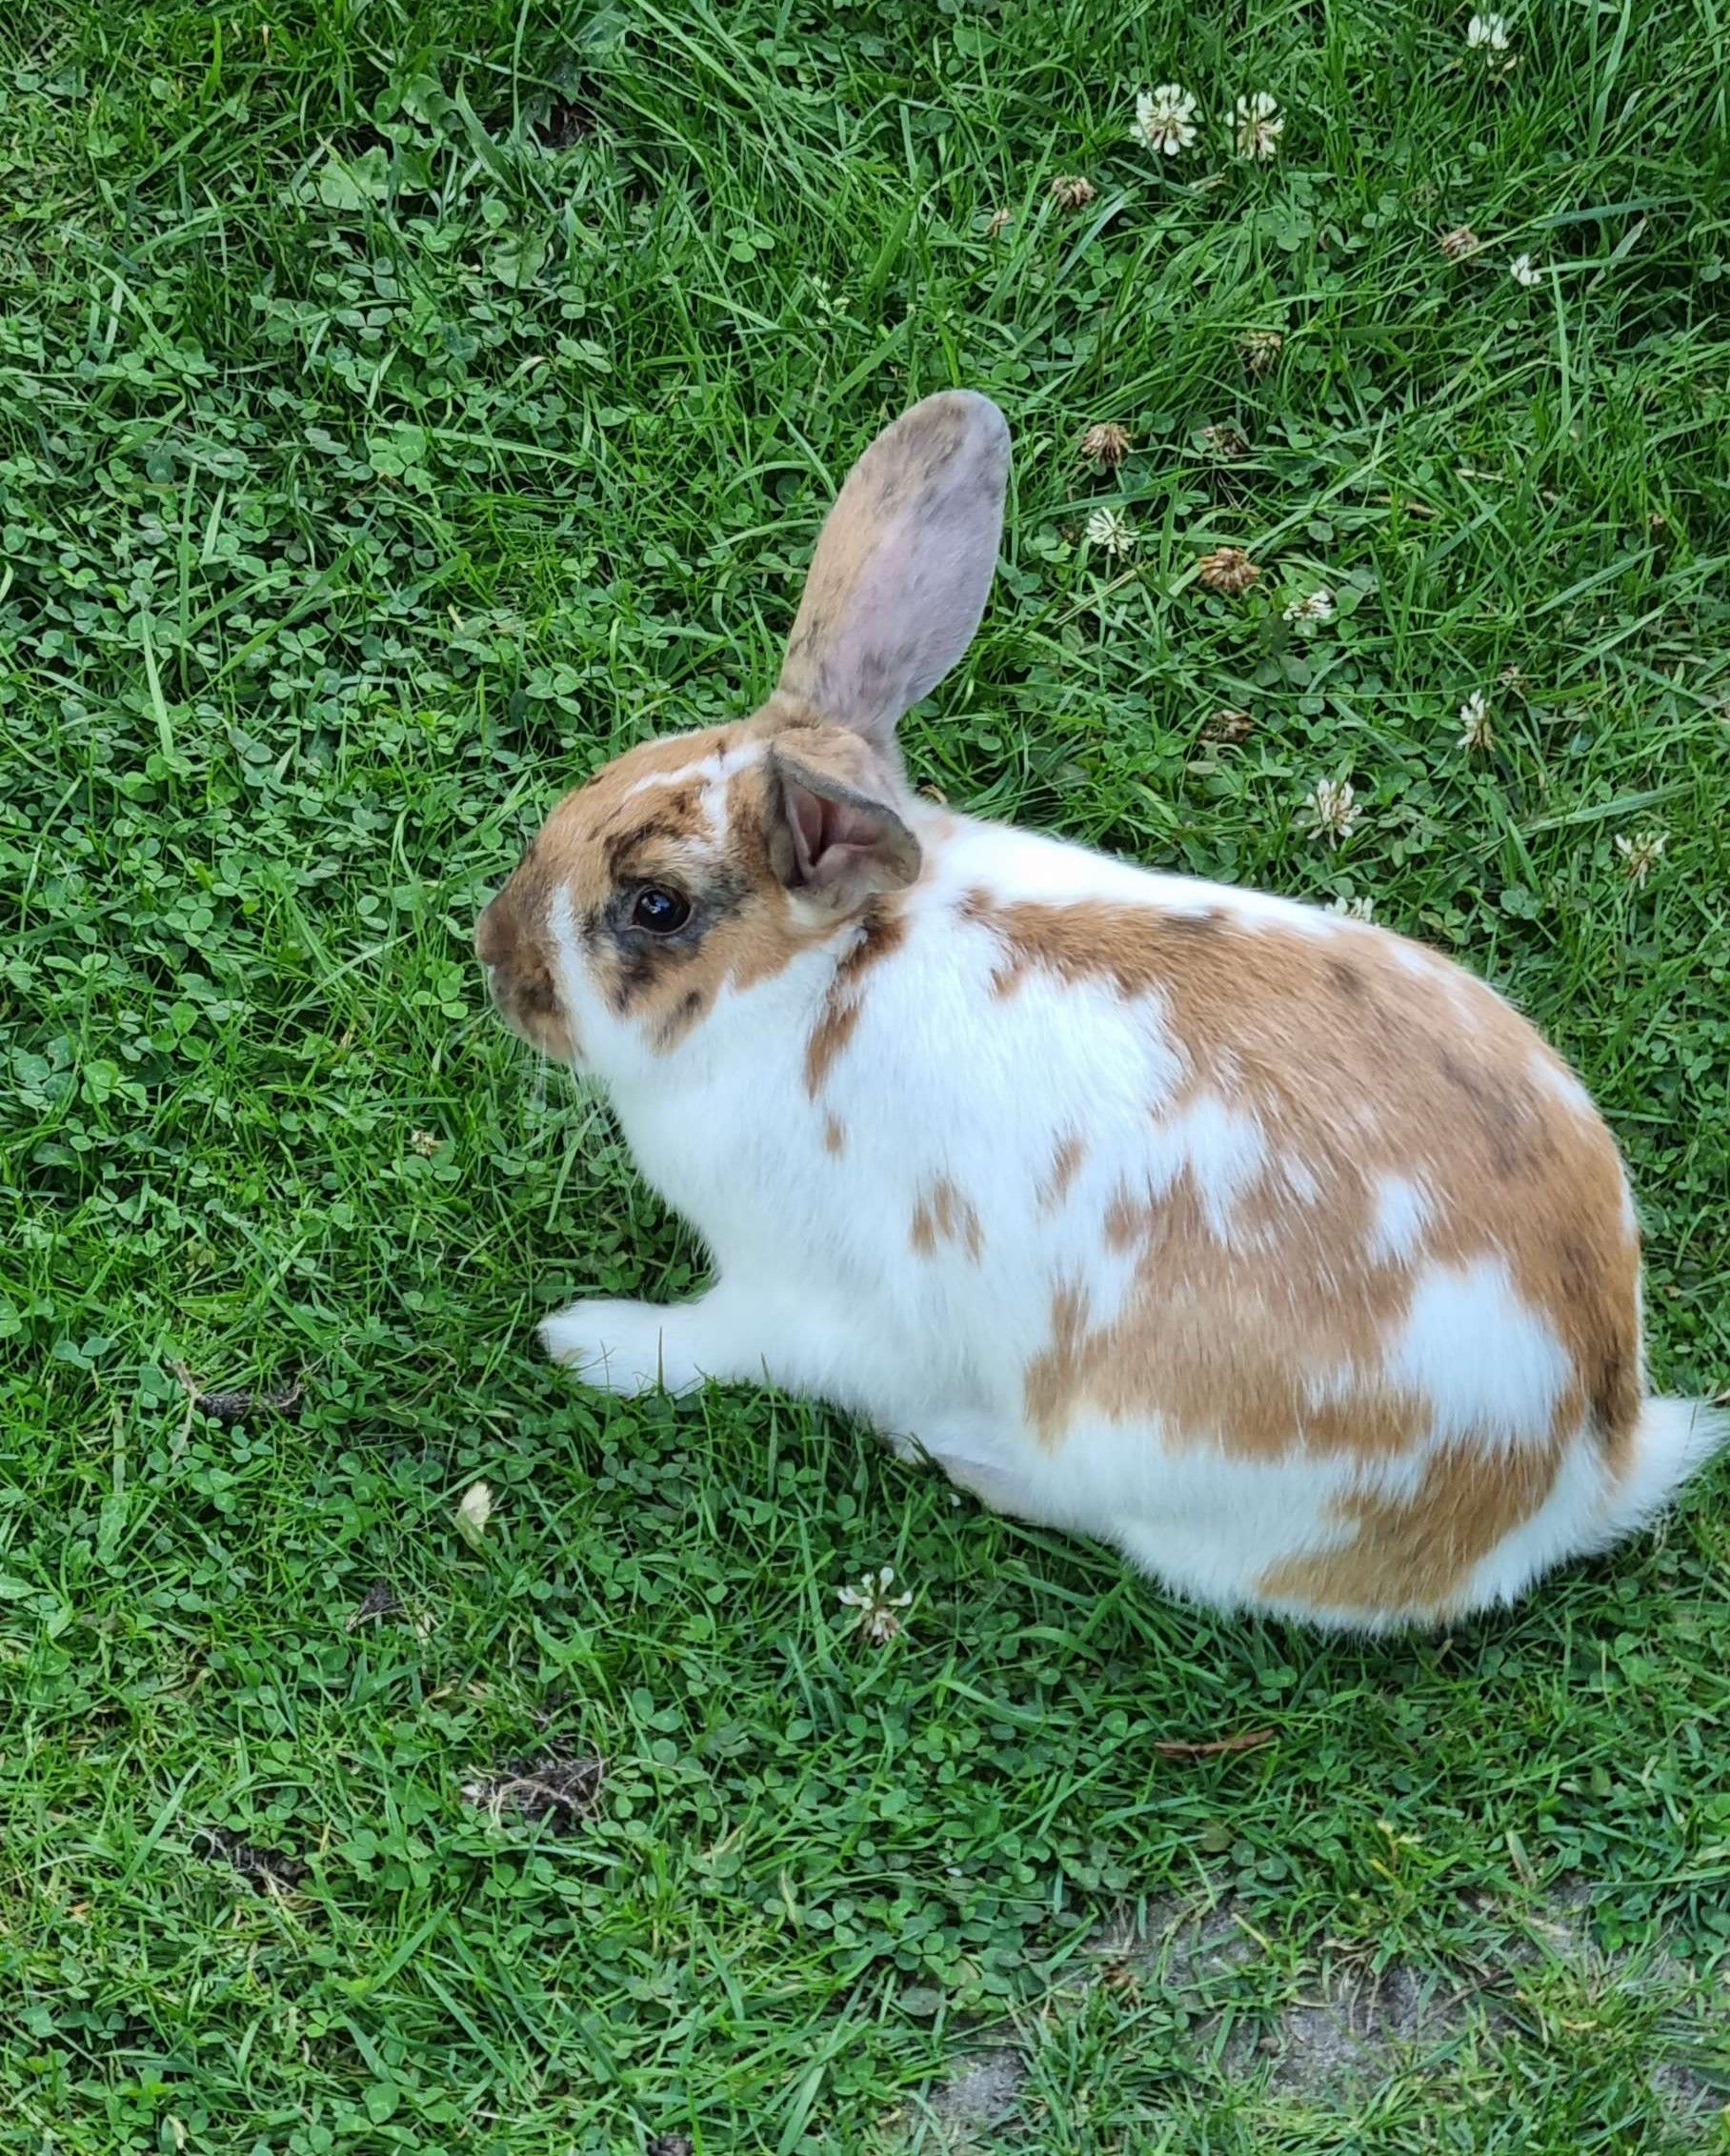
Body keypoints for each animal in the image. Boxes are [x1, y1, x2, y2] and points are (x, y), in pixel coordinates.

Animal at [474, 390, 1724, 1629]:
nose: (496, 961)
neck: (817, 977)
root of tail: (1581, 1462)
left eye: (657, 906)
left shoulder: (792, 1294)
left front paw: (583, 1340)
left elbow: (705, 1347)